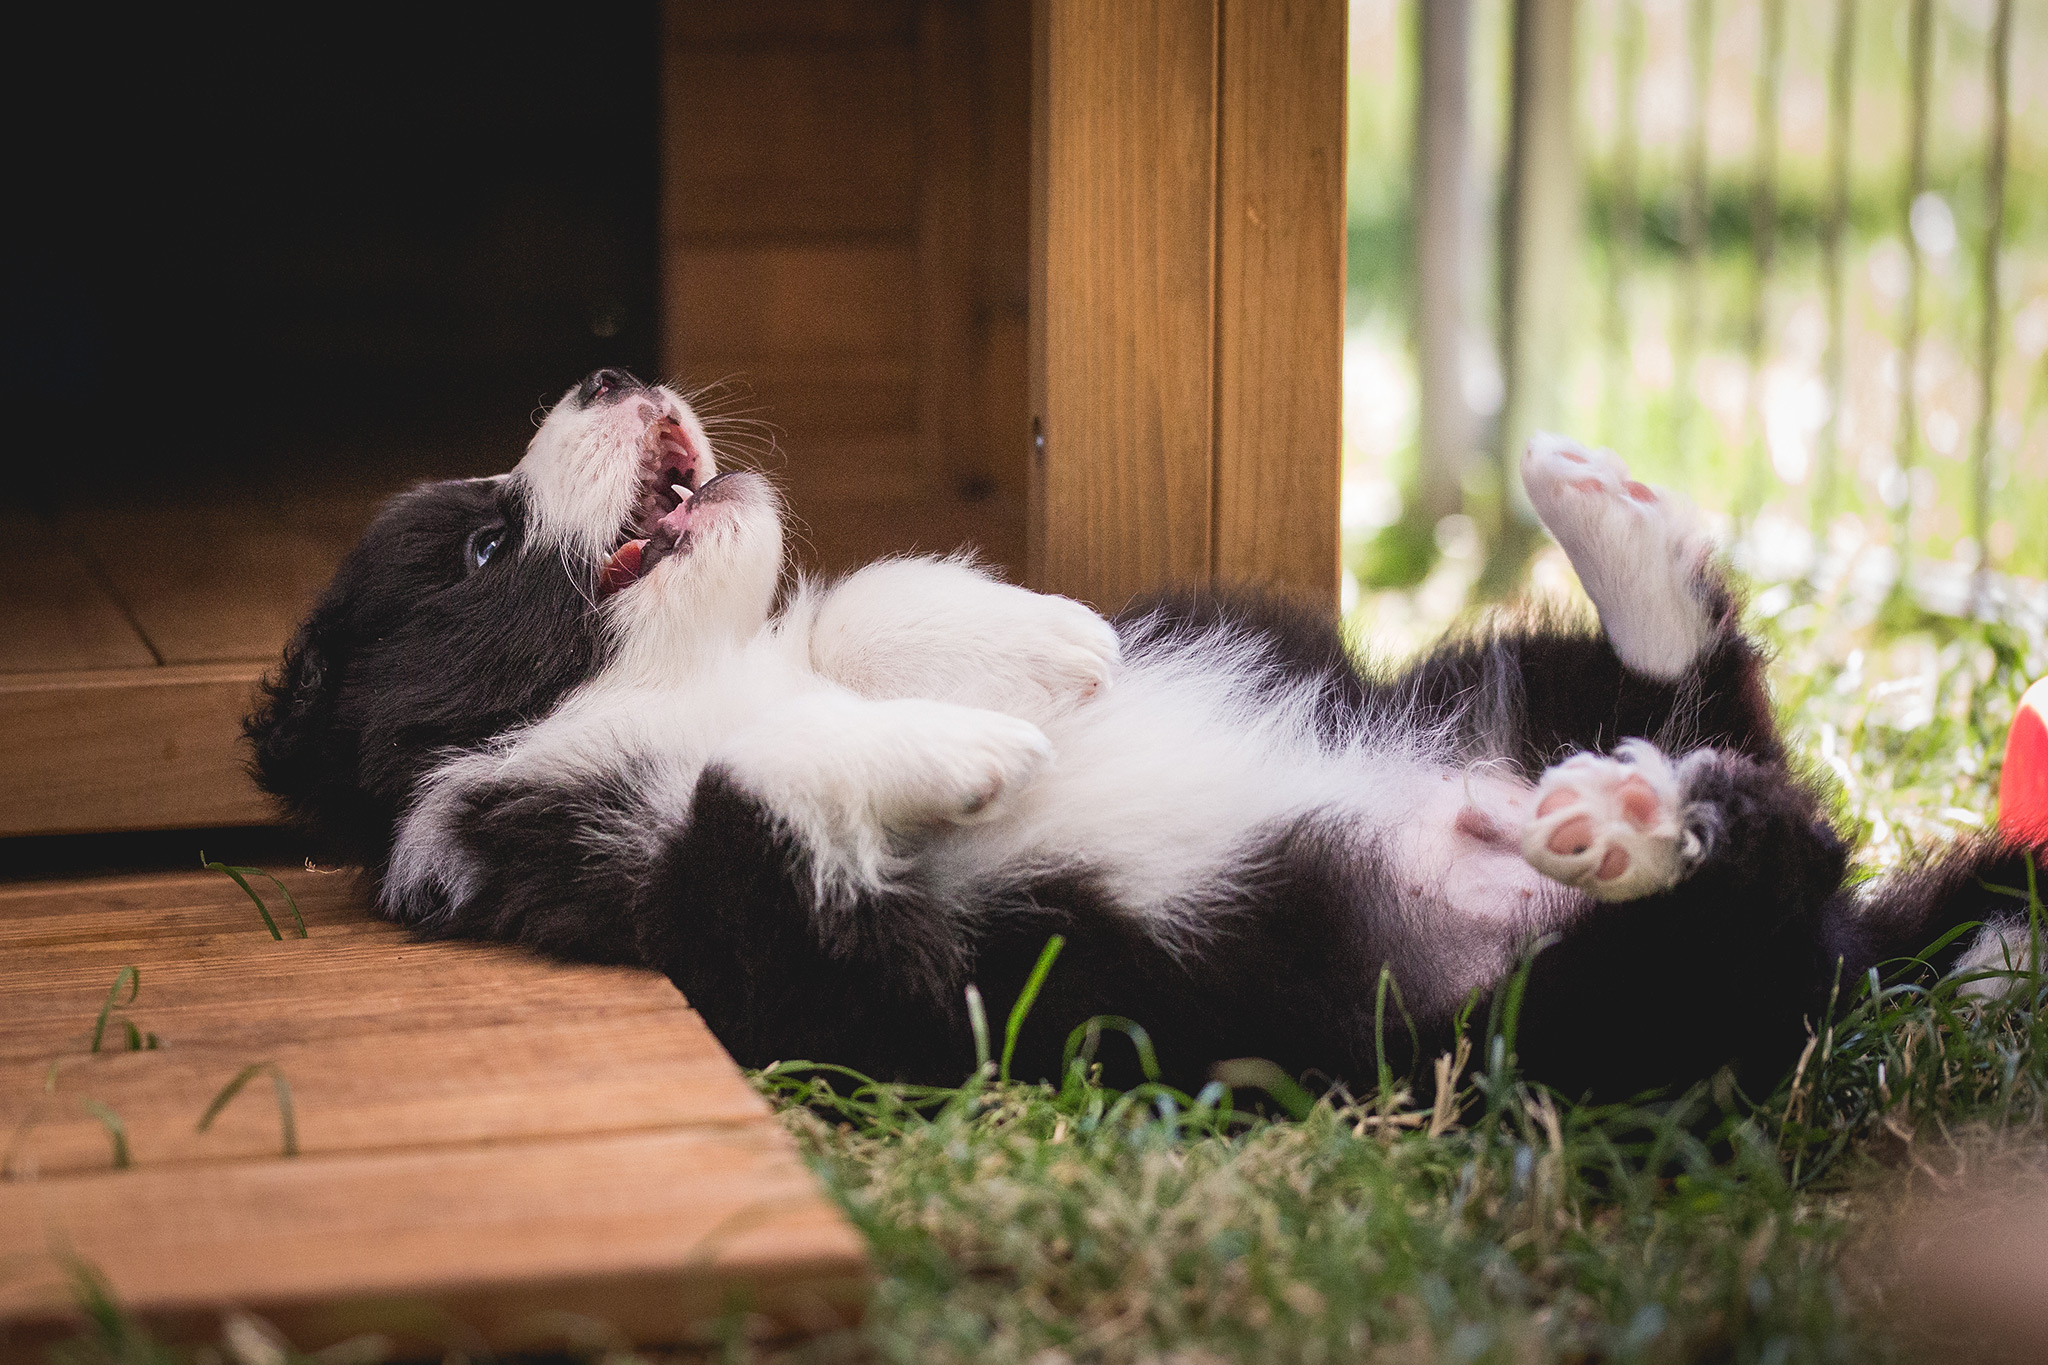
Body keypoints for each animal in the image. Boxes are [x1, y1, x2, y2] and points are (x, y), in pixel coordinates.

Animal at [247, 368, 2039, 1105]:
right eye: (485, 548)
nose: (611, 369)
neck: (683, 683)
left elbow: (850, 607)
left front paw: (1042, 649)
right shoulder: (754, 954)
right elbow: (744, 791)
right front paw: (979, 750)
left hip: (1476, 687)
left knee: (1704, 706)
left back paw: (1611, 532)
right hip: (1556, 1038)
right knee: (1754, 862)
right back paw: (1632, 833)